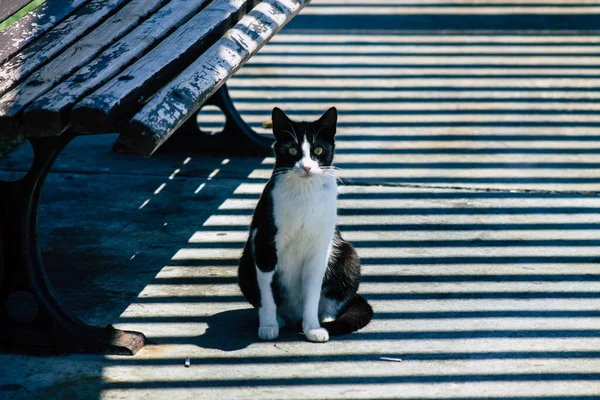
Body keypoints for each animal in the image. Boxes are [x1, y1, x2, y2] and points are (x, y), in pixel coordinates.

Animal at [238, 107, 370, 344]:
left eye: (318, 149)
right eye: (292, 150)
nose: (307, 166)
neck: (304, 192)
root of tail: (294, 315)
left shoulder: (318, 249)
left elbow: (313, 291)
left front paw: (312, 328)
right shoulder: (264, 242)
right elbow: (266, 291)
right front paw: (269, 325)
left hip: (348, 255)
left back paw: (325, 320)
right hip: (245, 264)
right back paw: (278, 319)